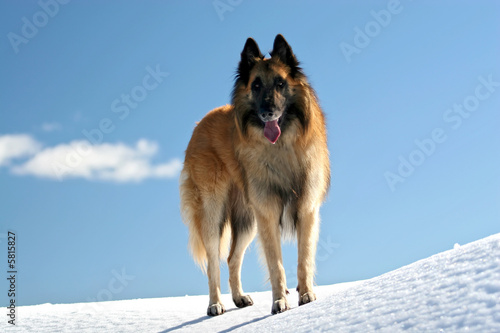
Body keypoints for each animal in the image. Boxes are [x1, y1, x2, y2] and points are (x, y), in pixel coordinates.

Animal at [181, 34, 332, 316]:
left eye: (281, 83)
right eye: (256, 85)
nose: (267, 112)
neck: (282, 146)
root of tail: (200, 123)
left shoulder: (306, 209)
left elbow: (304, 258)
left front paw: (306, 294)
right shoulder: (268, 213)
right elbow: (276, 265)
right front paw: (279, 301)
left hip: (248, 219)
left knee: (232, 258)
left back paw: (239, 298)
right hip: (213, 212)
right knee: (213, 261)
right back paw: (215, 304)